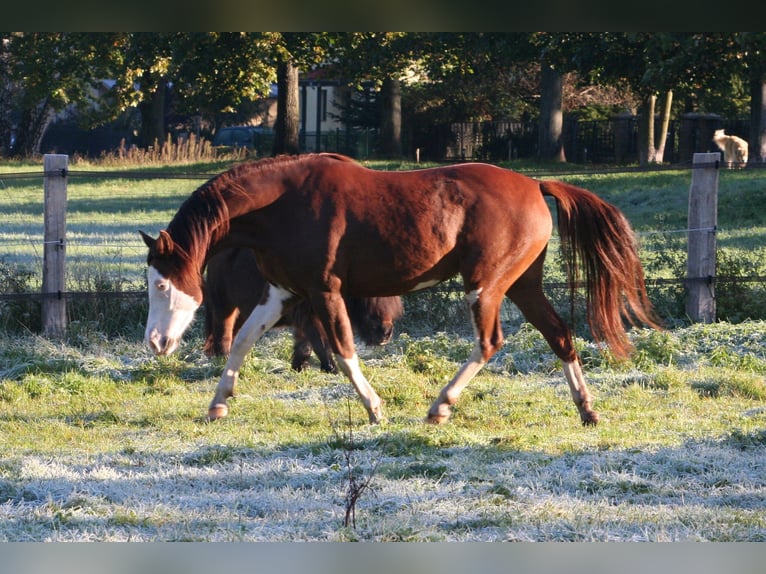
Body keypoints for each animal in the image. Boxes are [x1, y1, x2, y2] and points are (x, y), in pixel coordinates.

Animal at [203, 246, 404, 372]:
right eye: (367, 300)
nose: (385, 334)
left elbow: (304, 344)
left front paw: (300, 367)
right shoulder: (309, 317)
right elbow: (319, 342)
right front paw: (331, 369)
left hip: (241, 311)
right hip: (224, 306)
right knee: (223, 331)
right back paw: (223, 358)